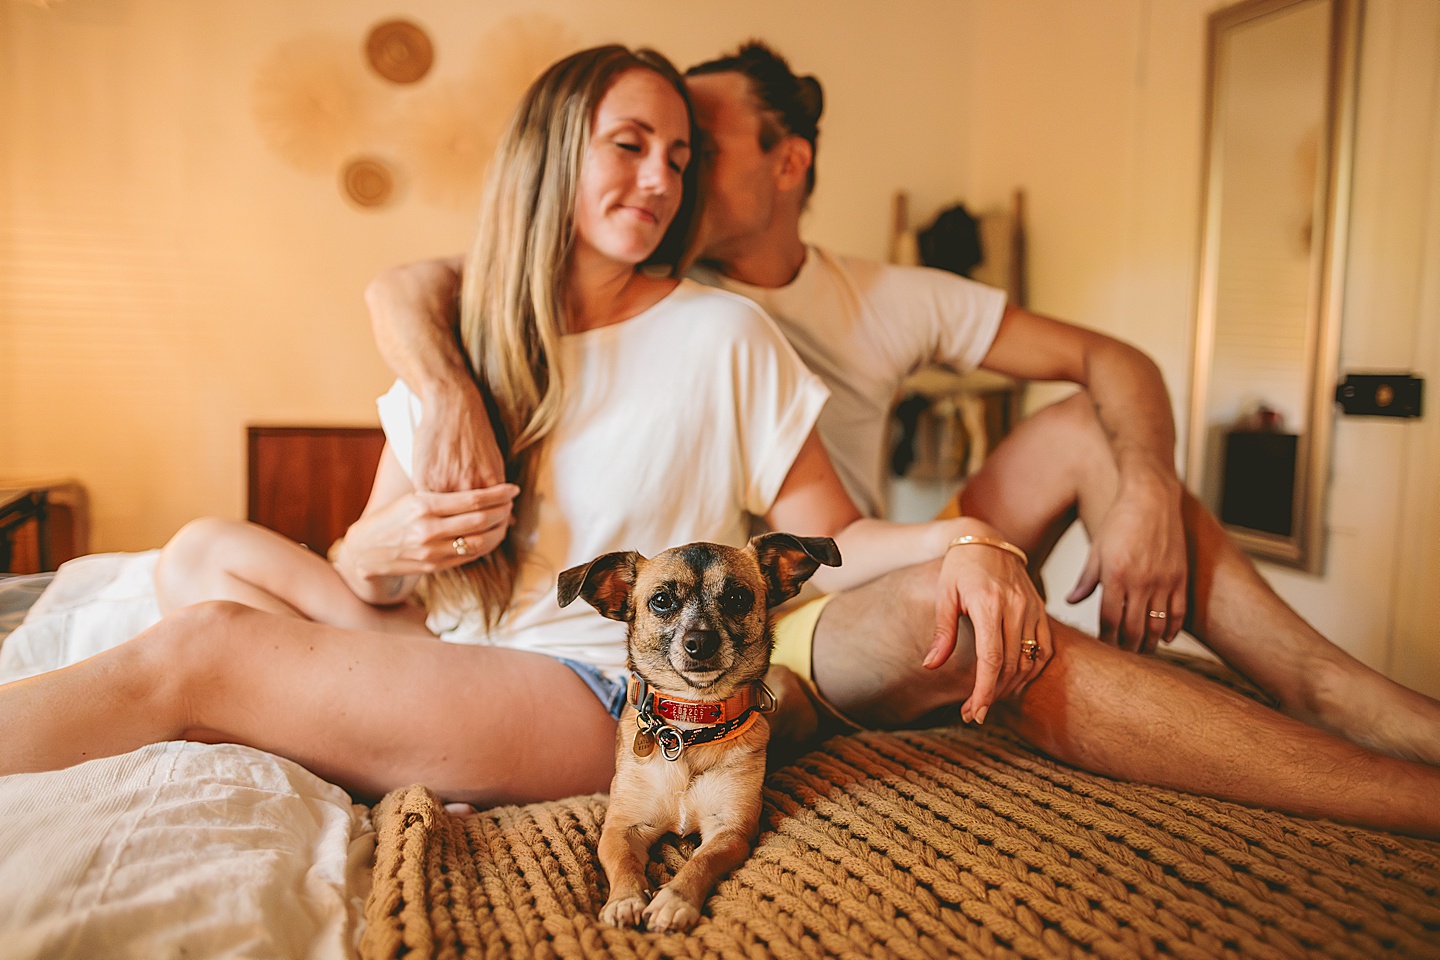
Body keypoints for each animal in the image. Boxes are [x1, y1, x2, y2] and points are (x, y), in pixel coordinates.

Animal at [555, 532, 840, 932]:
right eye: (661, 601)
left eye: (738, 597)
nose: (701, 642)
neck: (691, 723)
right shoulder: (621, 828)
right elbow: (623, 863)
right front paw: (625, 899)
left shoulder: (731, 831)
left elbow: (701, 862)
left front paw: (674, 899)